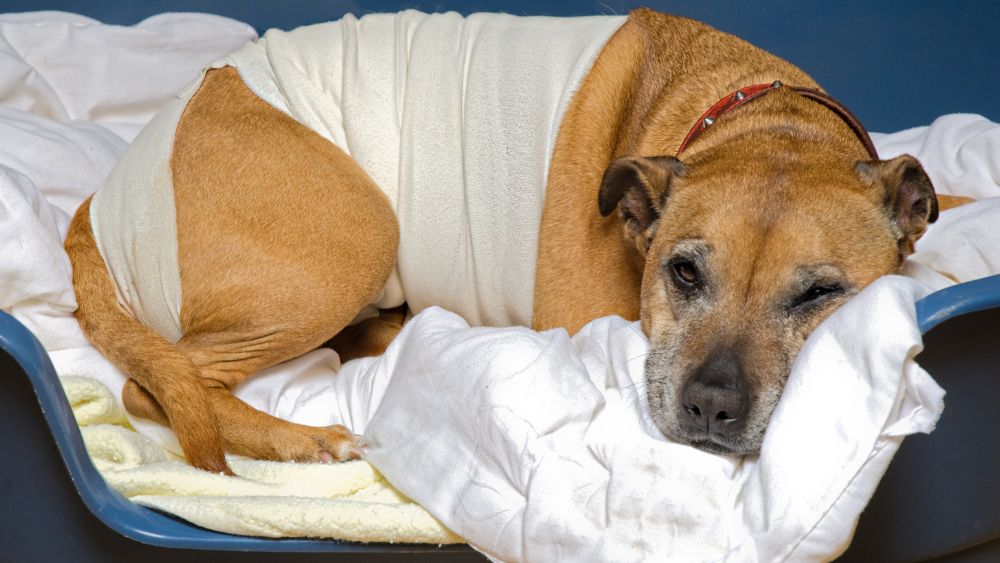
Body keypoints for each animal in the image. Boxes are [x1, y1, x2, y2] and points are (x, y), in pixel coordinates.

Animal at [62, 9, 968, 476]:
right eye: (681, 273)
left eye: (819, 294)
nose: (711, 404)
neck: (757, 116)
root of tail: (95, 207)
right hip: (358, 235)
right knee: (158, 385)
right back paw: (300, 438)